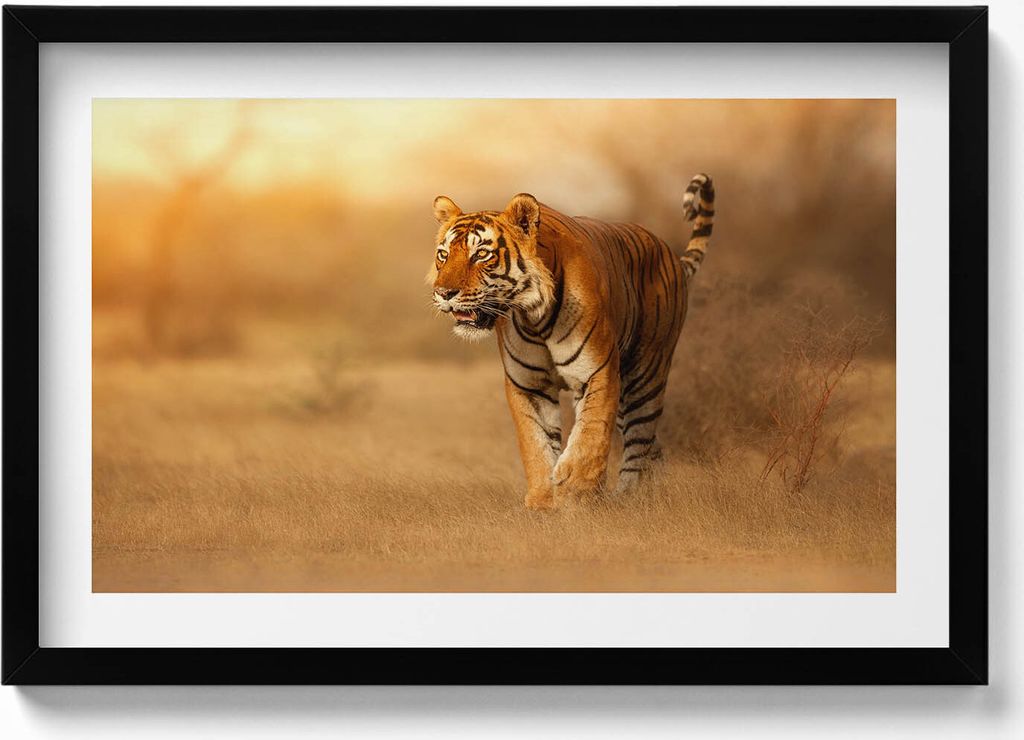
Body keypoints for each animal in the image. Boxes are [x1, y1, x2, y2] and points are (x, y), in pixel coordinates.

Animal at [428, 174, 715, 510]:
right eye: (443, 255)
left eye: (481, 254)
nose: (443, 293)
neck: (534, 316)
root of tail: (670, 254)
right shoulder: (529, 385)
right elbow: (535, 444)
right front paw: (542, 501)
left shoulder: (597, 372)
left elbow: (590, 434)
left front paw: (575, 491)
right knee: (652, 447)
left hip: (645, 376)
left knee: (639, 440)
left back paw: (628, 497)